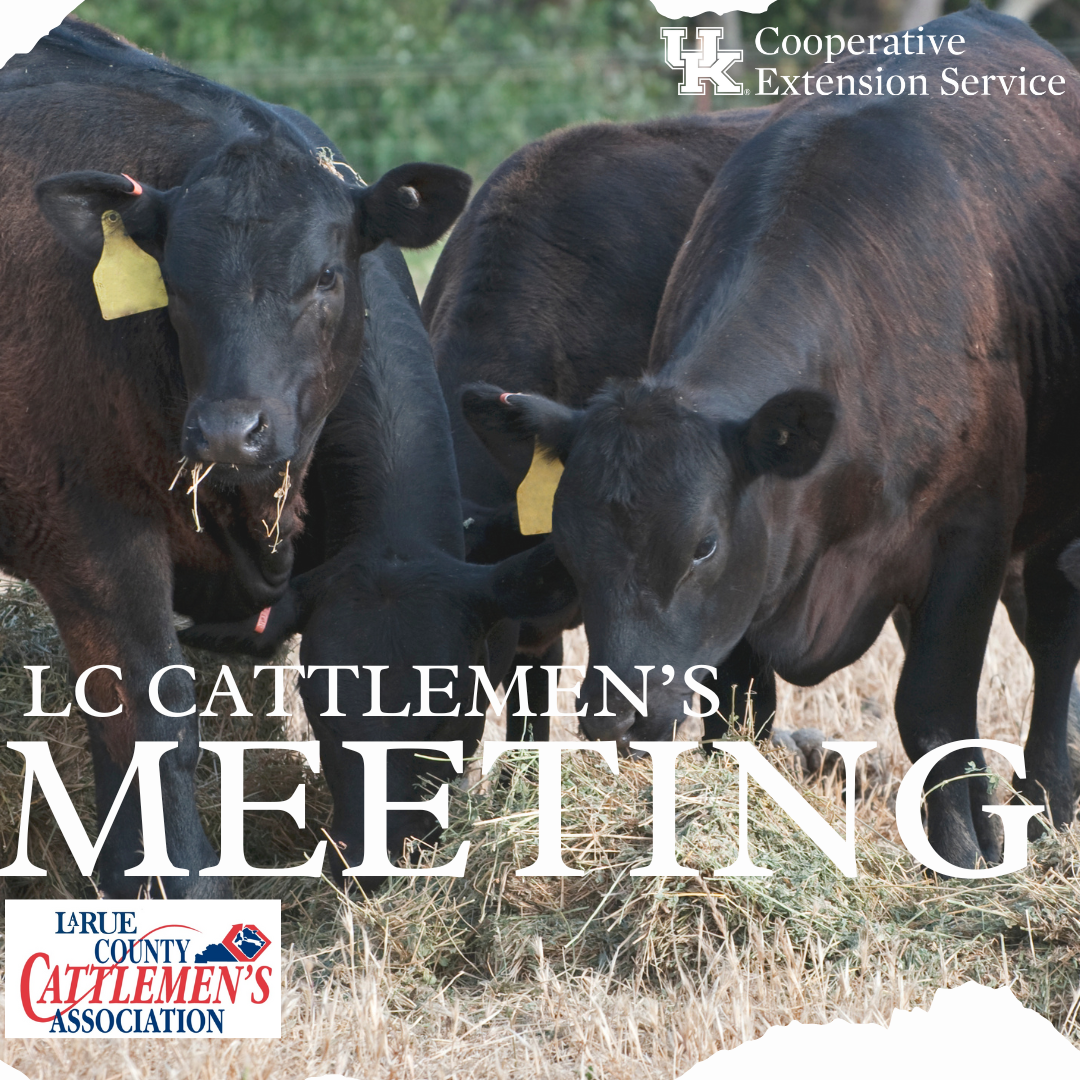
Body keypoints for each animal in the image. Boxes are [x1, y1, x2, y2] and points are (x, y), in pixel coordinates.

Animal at [3, 19, 468, 894]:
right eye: (175, 287)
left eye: (326, 276)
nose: (228, 430)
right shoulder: (88, 537)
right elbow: (148, 723)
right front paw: (167, 879)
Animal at [462, 4, 1080, 872]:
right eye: (570, 548)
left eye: (703, 545)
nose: (616, 712)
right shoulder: (751, 599)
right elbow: (737, 711)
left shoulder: (972, 532)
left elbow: (933, 707)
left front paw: (962, 852)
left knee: (1055, 637)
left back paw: (1047, 803)